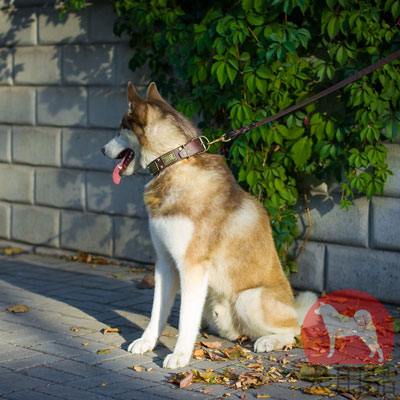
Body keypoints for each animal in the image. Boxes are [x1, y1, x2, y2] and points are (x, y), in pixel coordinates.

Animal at [101, 81, 318, 368]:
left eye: (119, 129)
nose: (102, 150)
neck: (174, 162)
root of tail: (293, 307)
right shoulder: (165, 263)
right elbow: (157, 310)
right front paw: (147, 342)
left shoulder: (192, 266)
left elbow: (184, 318)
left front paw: (180, 355)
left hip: (249, 298)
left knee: (293, 330)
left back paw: (269, 341)